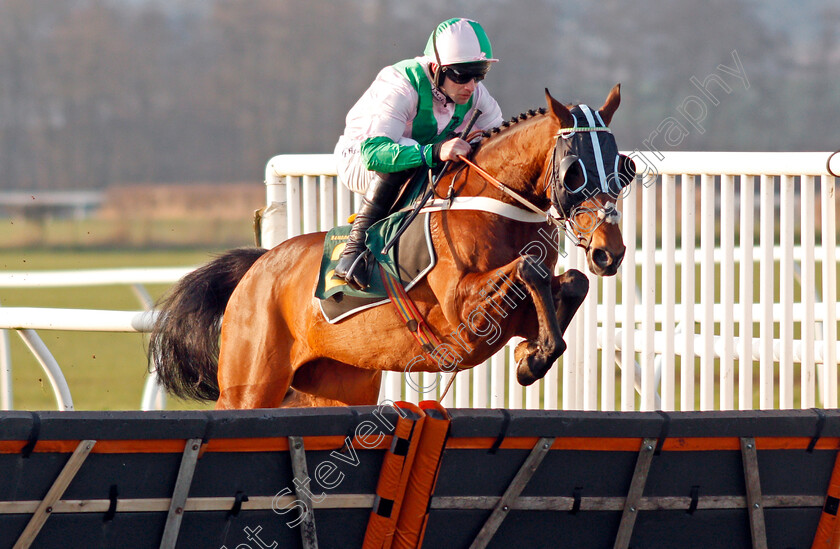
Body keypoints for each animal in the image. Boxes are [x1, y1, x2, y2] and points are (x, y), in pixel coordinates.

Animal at [151, 84, 632, 406]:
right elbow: (529, 269)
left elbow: (571, 281)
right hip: (250, 384)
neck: (495, 206)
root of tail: (259, 264)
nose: (610, 252)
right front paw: (533, 356)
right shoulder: (461, 306)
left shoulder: (515, 310)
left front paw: (532, 356)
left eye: (623, 168)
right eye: (574, 172)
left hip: (337, 385)